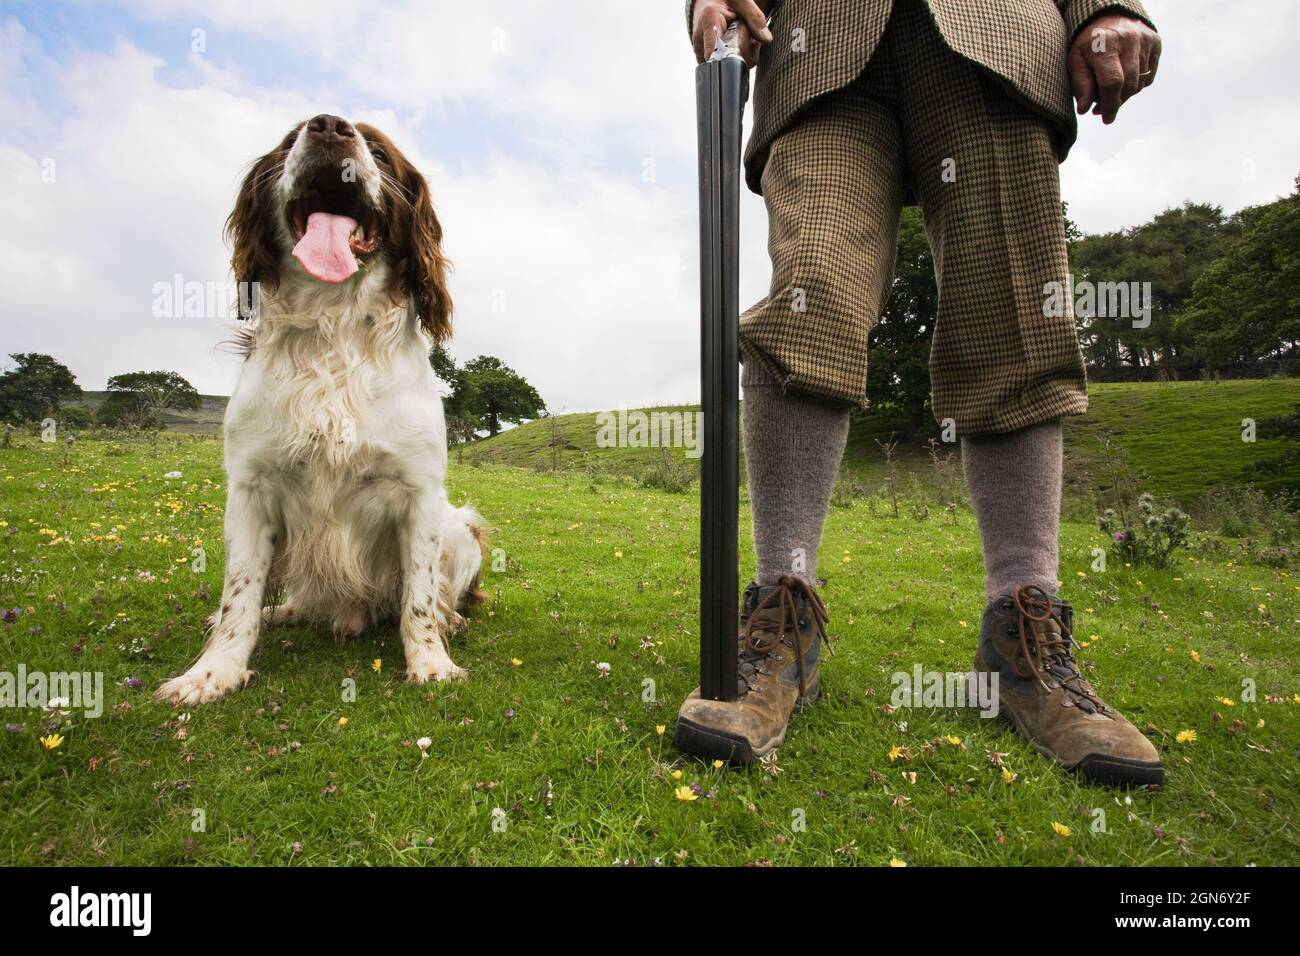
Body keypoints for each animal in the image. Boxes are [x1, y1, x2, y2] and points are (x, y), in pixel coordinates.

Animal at [159, 115, 486, 707]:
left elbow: (419, 598)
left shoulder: (419, 492)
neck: (334, 326)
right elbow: (238, 597)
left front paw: (432, 664)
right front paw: (212, 672)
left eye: (377, 148)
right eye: (290, 140)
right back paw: (290, 612)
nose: (329, 127)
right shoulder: (250, 489)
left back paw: (446, 621)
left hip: (460, 525)